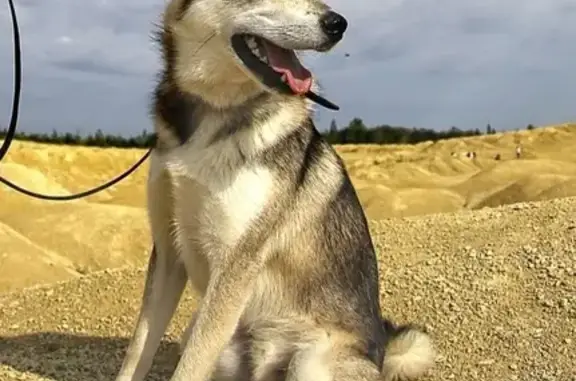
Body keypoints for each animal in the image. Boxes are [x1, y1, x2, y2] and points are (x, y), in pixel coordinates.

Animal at [115, 0, 434, 380]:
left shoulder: (235, 264)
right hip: (205, 335)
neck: (214, 112)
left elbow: (188, 369)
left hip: (310, 363)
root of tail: (380, 355)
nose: (338, 24)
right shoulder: (167, 252)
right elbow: (137, 353)